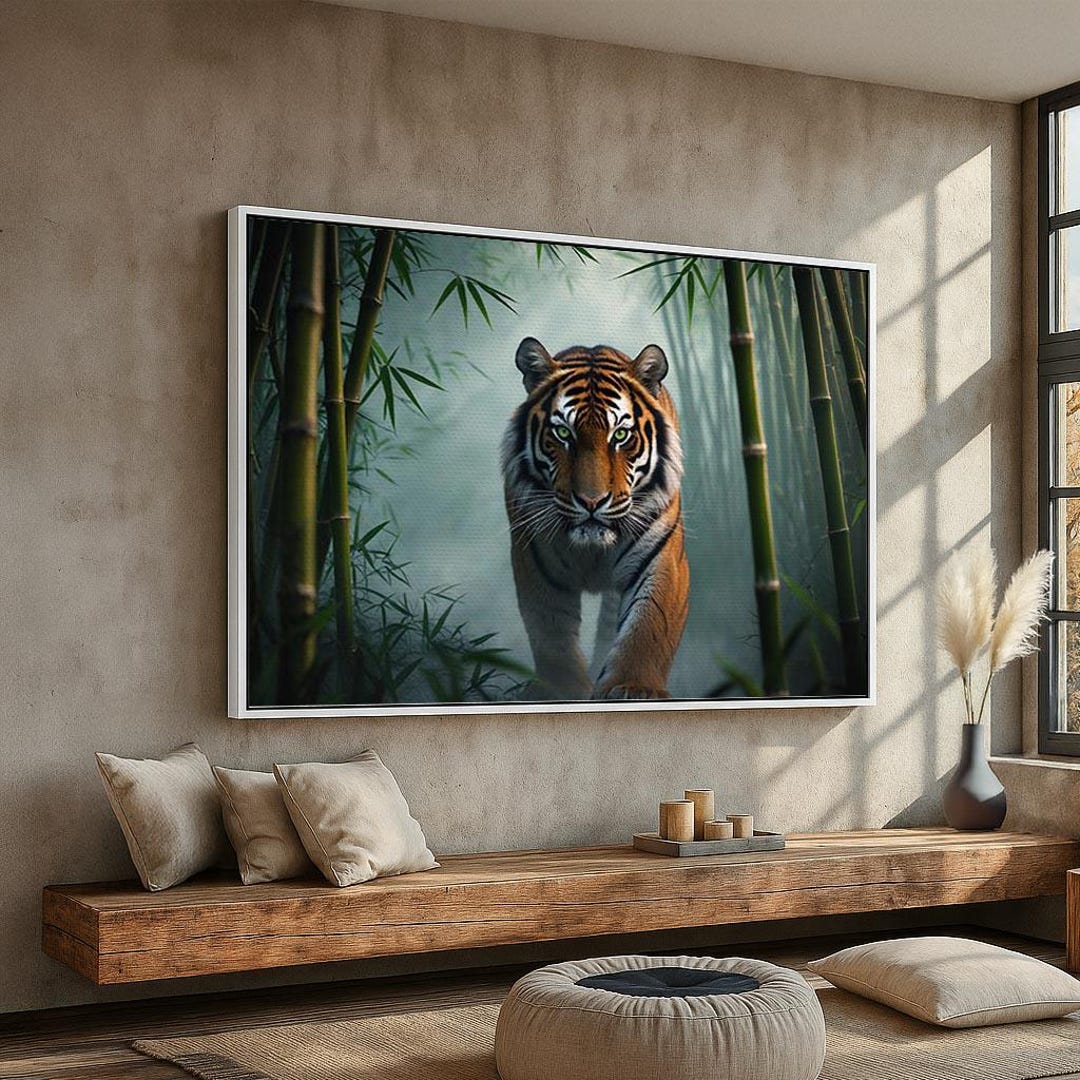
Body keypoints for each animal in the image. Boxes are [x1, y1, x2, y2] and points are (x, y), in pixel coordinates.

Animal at [501, 337, 690, 701]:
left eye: (620, 436)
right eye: (563, 433)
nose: (591, 501)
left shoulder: (662, 558)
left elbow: (648, 626)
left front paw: (634, 687)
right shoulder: (534, 559)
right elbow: (551, 634)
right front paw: (562, 688)